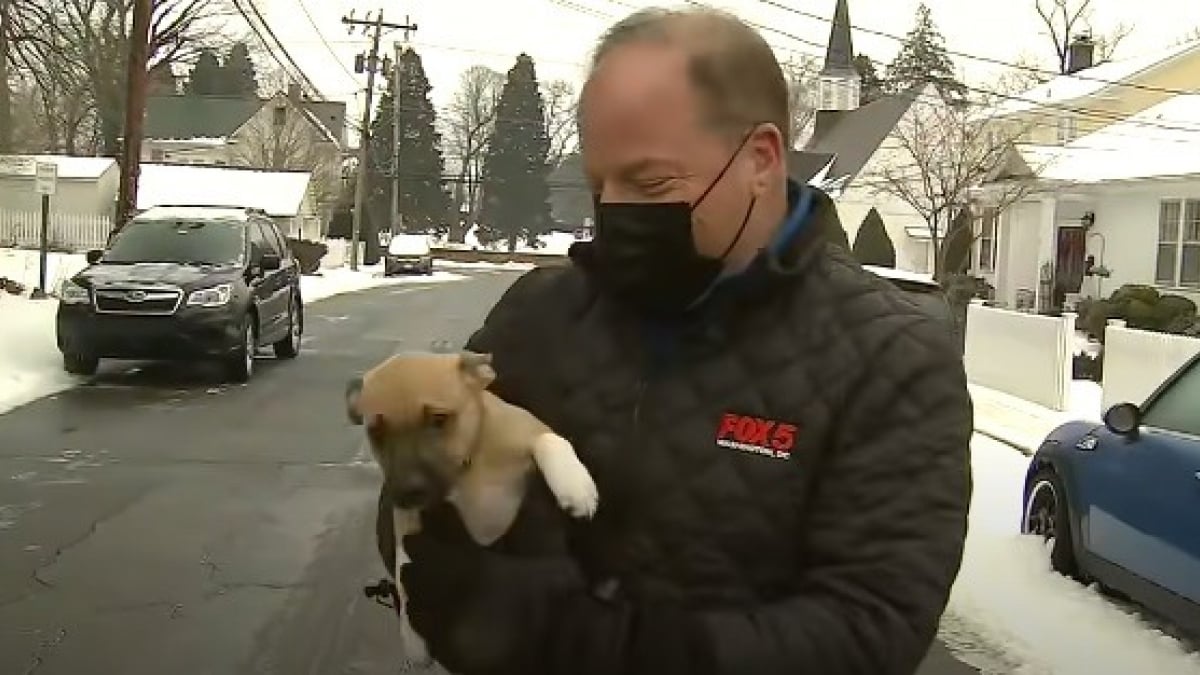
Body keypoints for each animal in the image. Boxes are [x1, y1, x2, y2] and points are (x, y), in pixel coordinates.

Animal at [345, 348, 597, 662]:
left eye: (439, 419)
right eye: (376, 432)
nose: (407, 490)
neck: (470, 466)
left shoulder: (531, 427)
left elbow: (553, 440)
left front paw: (576, 487)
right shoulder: (408, 519)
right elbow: (404, 567)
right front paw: (412, 636)